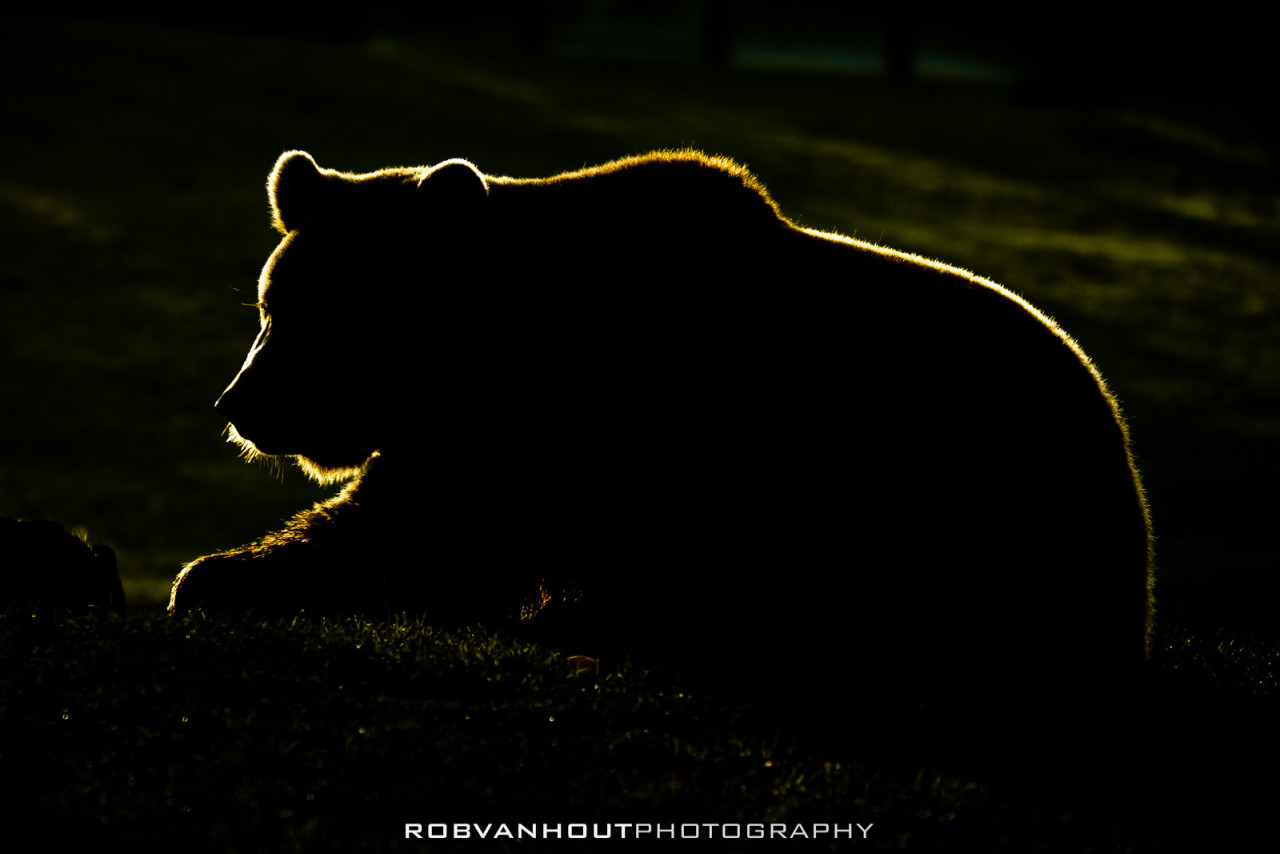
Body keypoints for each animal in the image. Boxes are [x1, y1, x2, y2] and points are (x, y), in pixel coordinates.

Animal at [165, 150, 1157, 701]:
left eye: (325, 313)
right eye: (271, 305)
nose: (239, 404)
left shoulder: (549, 424)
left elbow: (415, 532)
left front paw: (218, 578)